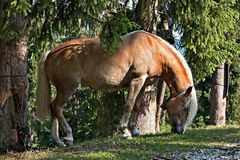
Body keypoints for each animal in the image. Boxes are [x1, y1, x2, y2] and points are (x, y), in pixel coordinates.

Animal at [35, 30, 197, 146]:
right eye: (185, 107)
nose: (180, 131)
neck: (153, 49)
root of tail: (51, 53)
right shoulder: (137, 80)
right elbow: (129, 105)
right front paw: (125, 131)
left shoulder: (144, 83)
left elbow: (137, 106)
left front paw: (135, 130)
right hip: (67, 88)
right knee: (56, 107)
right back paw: (68, 136)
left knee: (53, 108)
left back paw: (58, 141)